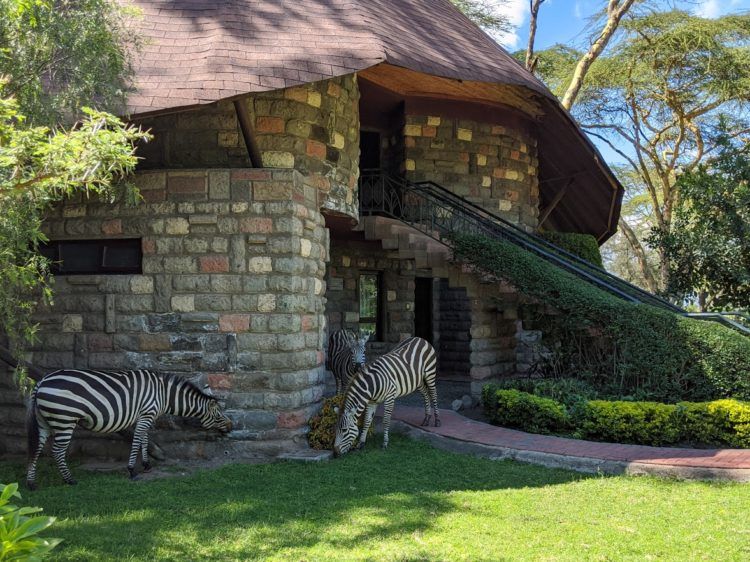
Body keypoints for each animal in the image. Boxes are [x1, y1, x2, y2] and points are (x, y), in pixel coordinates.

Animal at [26, 368, 232, 486]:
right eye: (219, 414)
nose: (231, 426)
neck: (163, 394)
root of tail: (41, 382)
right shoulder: (146, 414)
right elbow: (137, 440)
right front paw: (132, 470)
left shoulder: (145, 416)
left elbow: (145, 439)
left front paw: (147, 465)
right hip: (64, 419)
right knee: (57, 451)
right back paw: (69, 480)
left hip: (44, 421)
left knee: (36, 449)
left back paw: (31, 483)